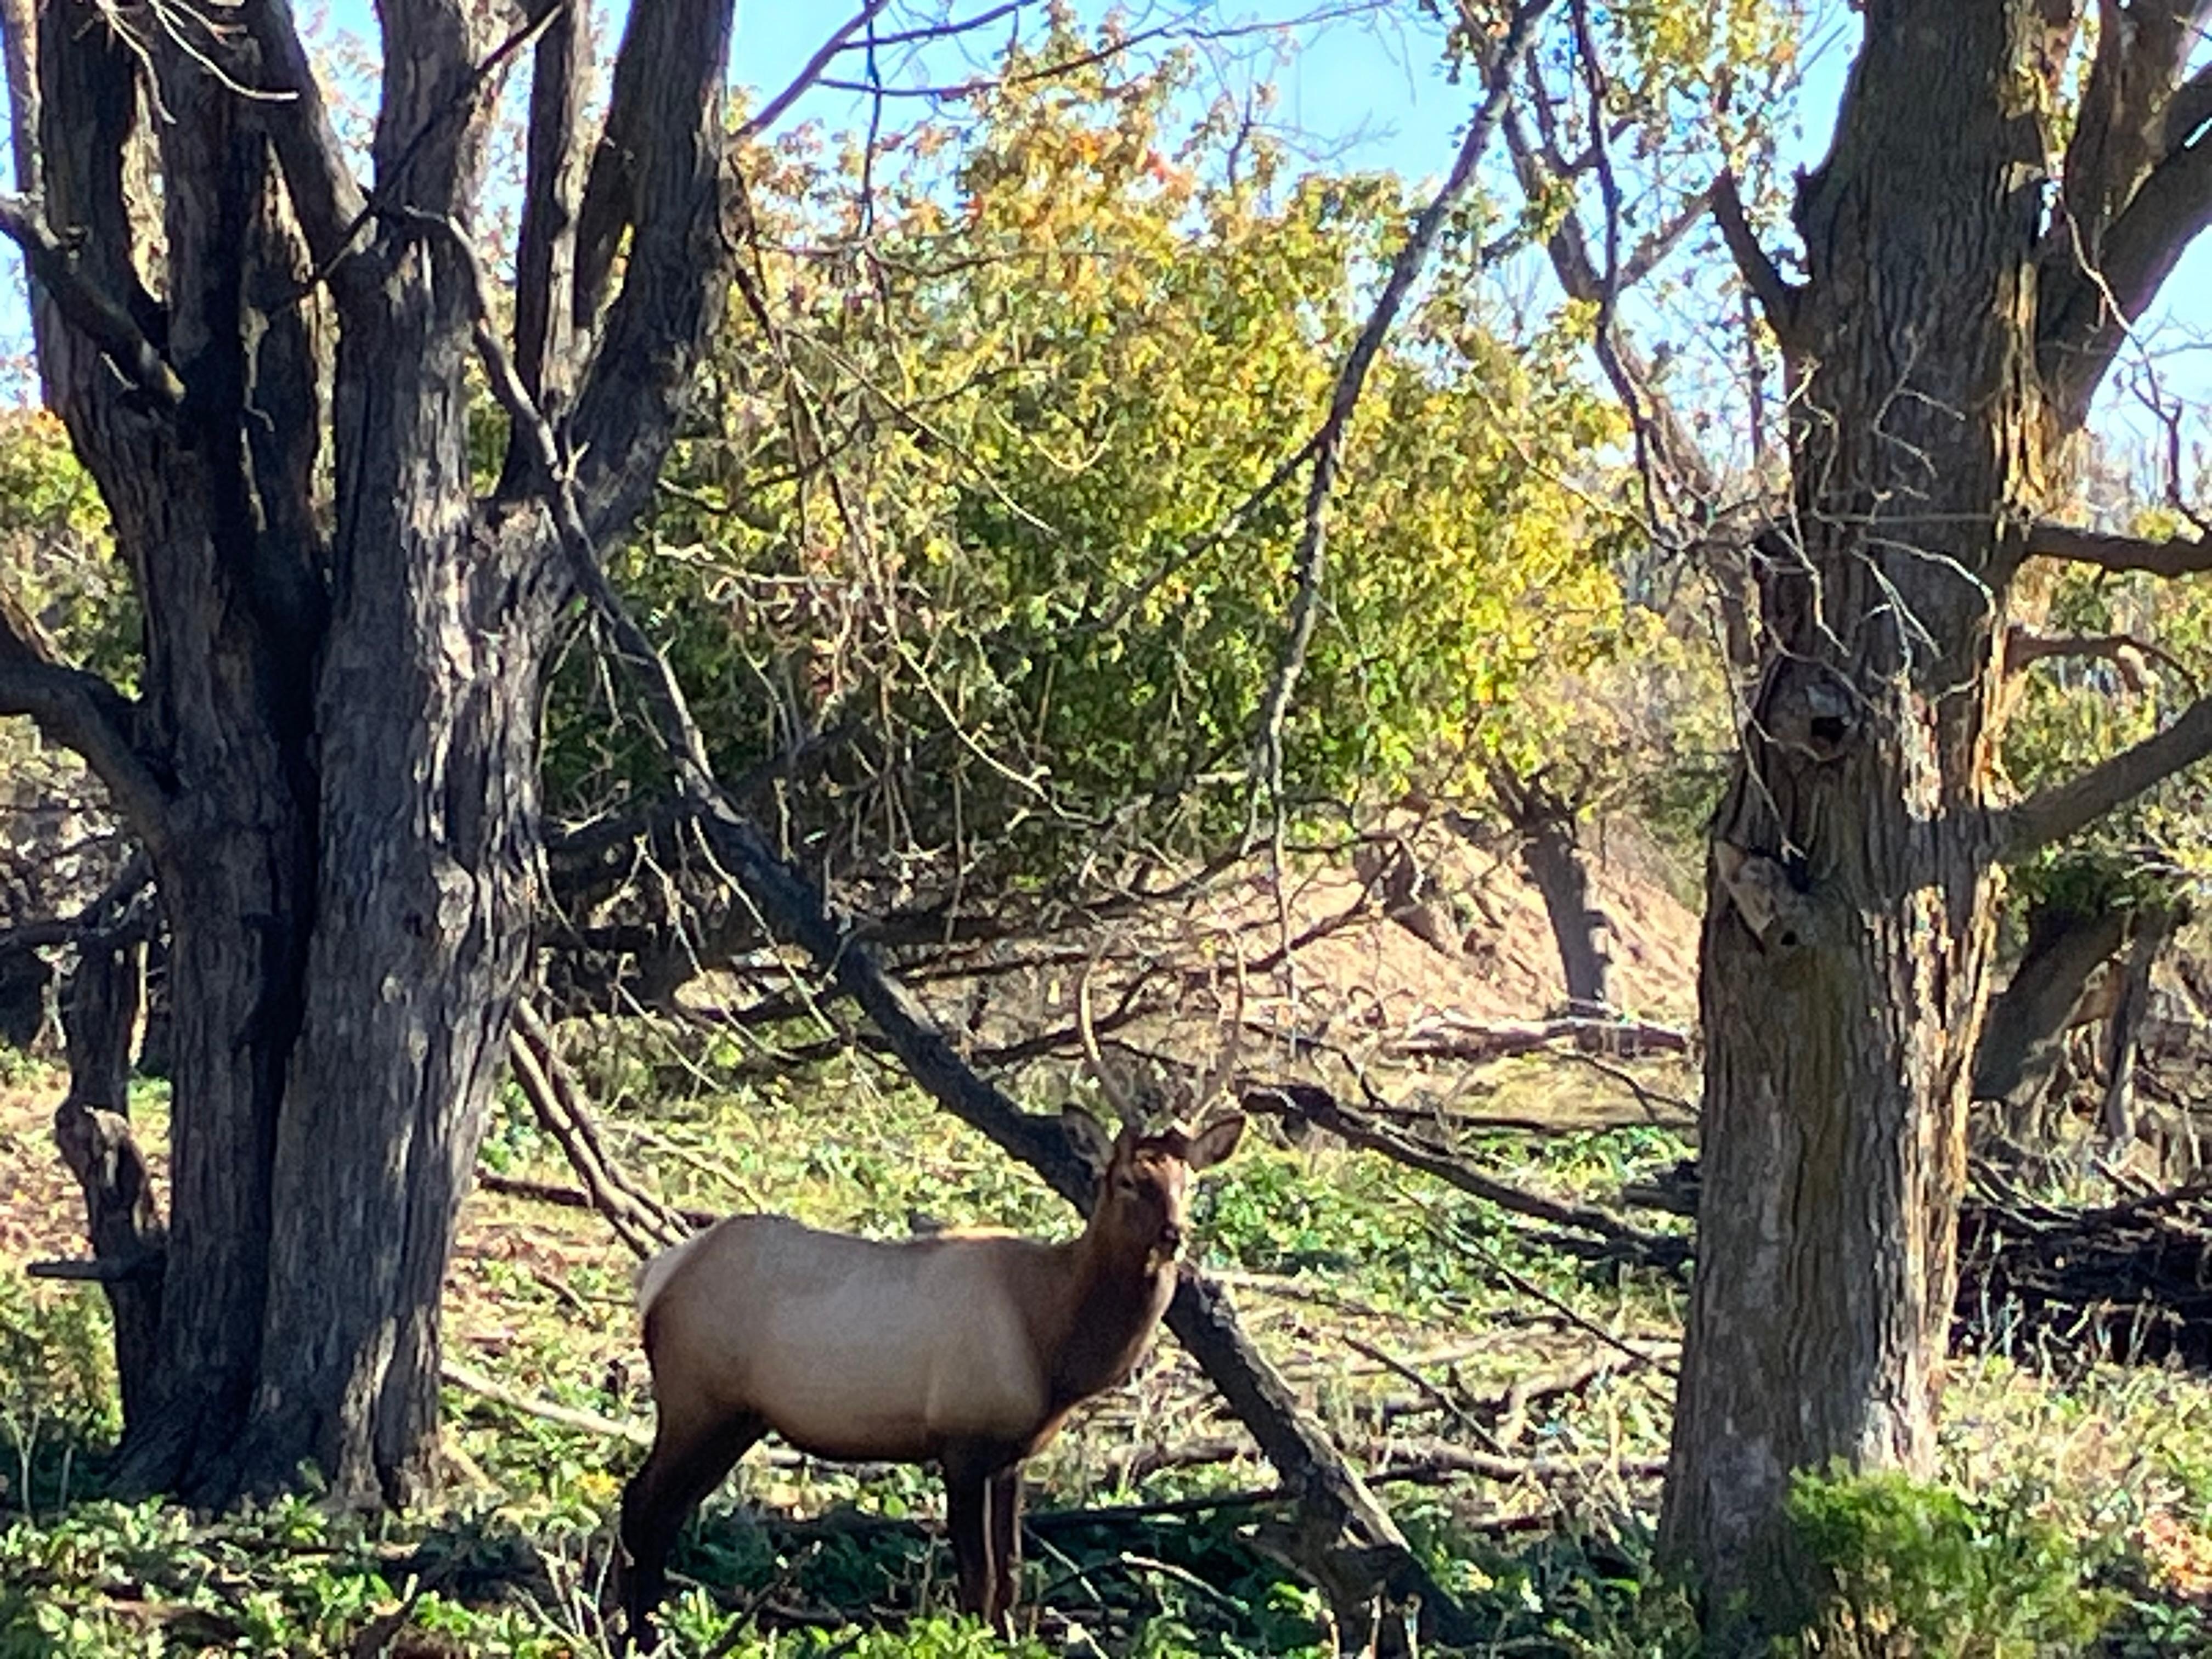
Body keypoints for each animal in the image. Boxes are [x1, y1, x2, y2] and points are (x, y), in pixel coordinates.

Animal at [615, 1103, 1245, 1648]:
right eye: (1127, 1181)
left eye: (1190, 1182)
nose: (1174, 1236)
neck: (1053, 1345)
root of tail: (658, 1277)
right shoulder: (961, 1441)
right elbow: (978, 1579)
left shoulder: (1011, 1454)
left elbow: (1010, 1574)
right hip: (696, 1400)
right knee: (640, 1503)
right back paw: (638, 1633)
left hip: (737, 1419)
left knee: (667, 1511)